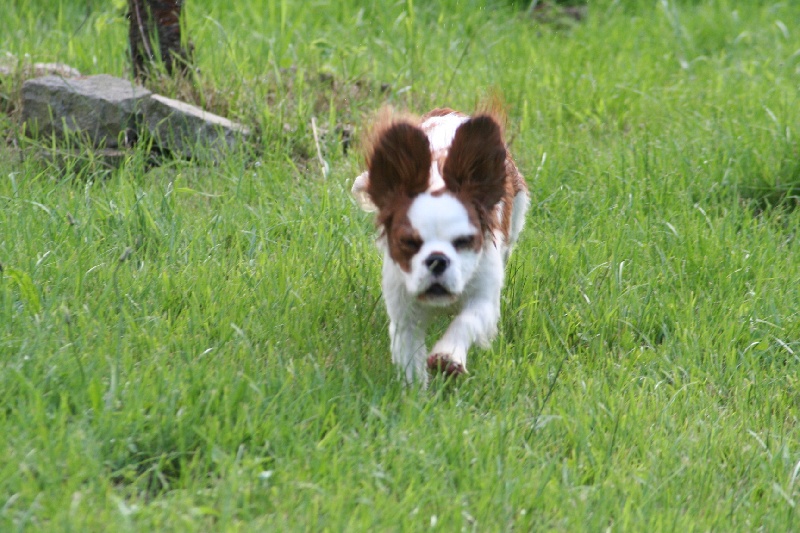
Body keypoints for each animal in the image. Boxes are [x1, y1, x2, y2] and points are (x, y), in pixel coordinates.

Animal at [352, 107, 528, 382]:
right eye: (409, 242)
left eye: (464, 242)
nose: (437, 260)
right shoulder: (404, 311)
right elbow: (410, 353)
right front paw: (414, 390)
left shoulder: (484, 298)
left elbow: (466, 321)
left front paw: (448, 356)